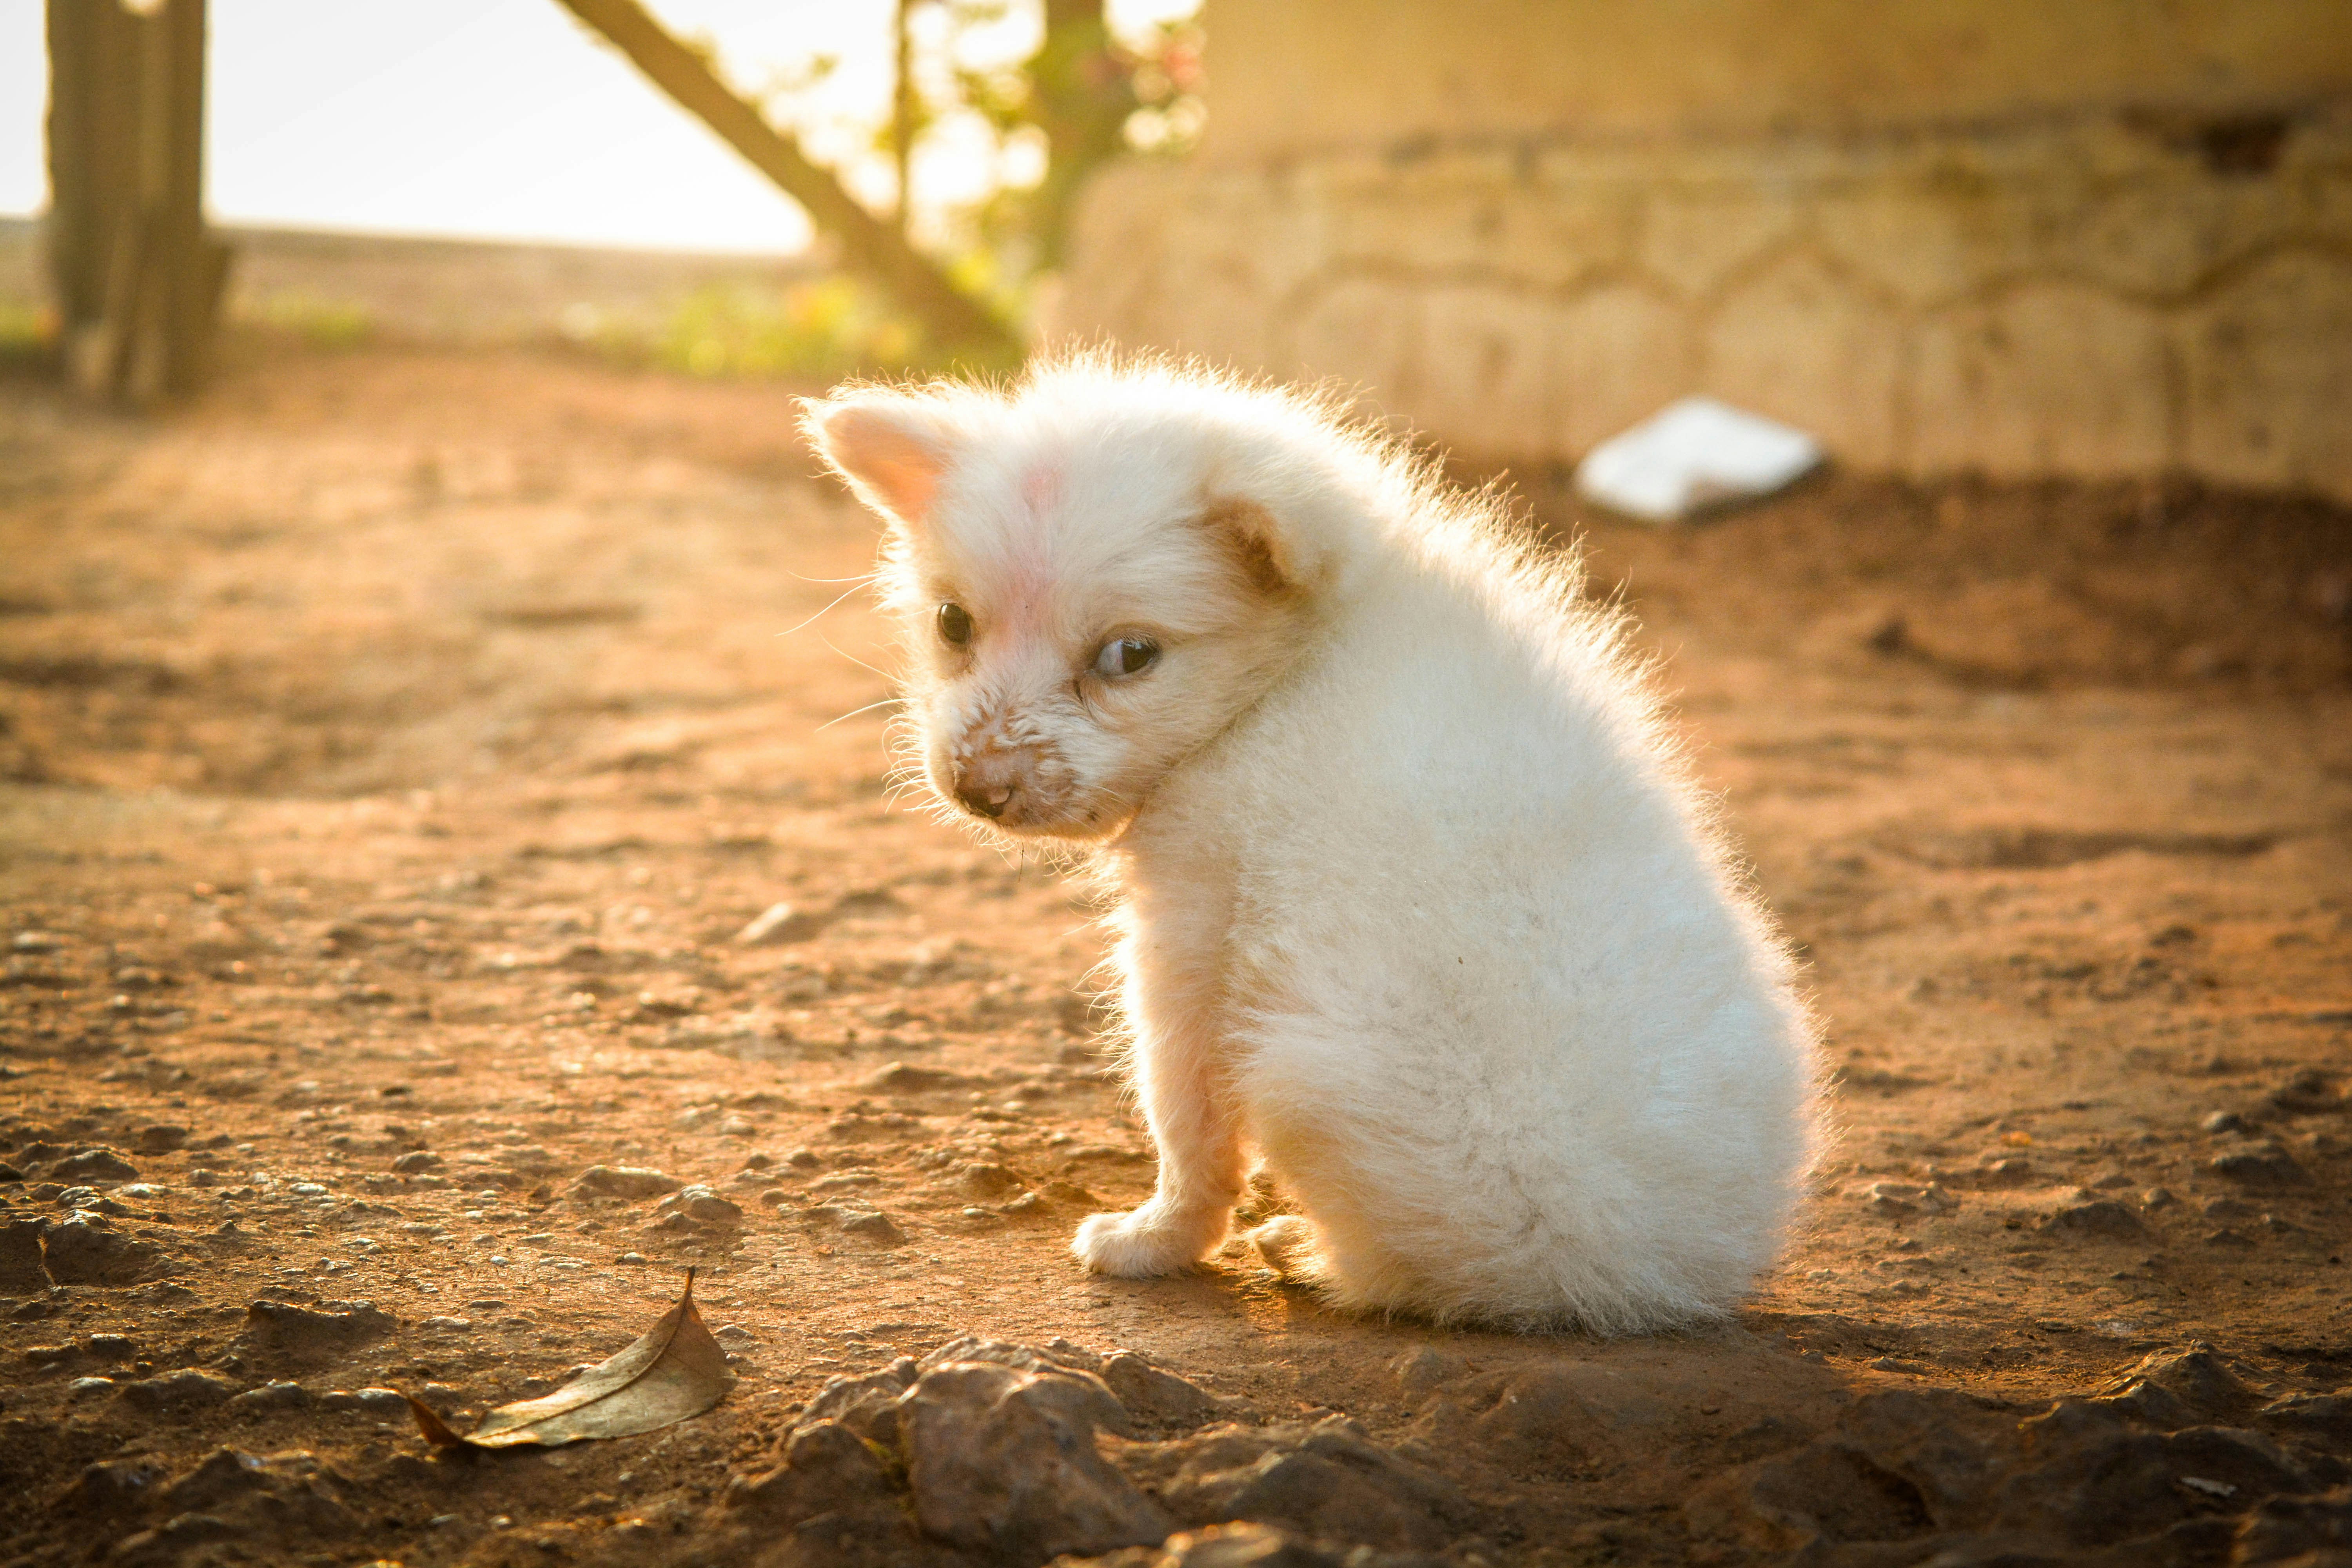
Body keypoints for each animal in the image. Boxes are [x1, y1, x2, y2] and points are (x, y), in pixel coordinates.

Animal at [804, 355, 1816, 1335]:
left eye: (1130, 656)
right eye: (953, 624)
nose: (979, 786)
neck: (1290, 671)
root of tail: (1618, 1285)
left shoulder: (1193, 931)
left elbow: (1185, 1119)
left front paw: (1153, 1237)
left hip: (1304, 1070)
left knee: (1411, 1273)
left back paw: (1307, 1251)